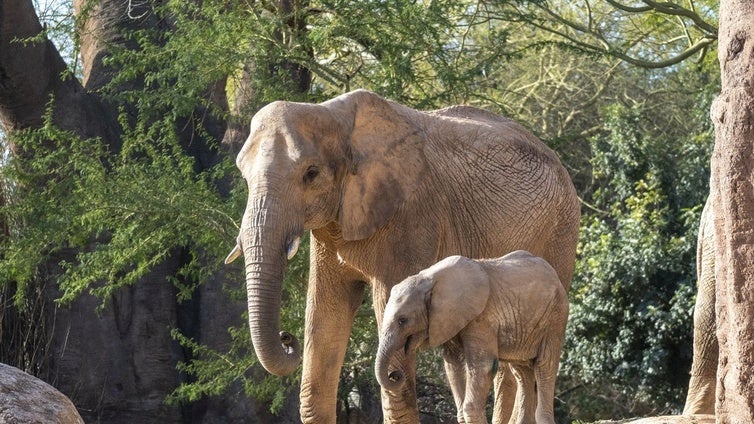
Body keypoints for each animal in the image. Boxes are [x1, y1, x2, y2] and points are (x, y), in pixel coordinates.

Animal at [374, 250, 568, 422]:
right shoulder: (450, 318)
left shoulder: (482, 318)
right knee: (522, 371)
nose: (395, 375)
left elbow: (484, 365)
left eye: (402, 320)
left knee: (544, 365)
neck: (428, 279)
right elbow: (453, 364)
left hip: (555, 318)